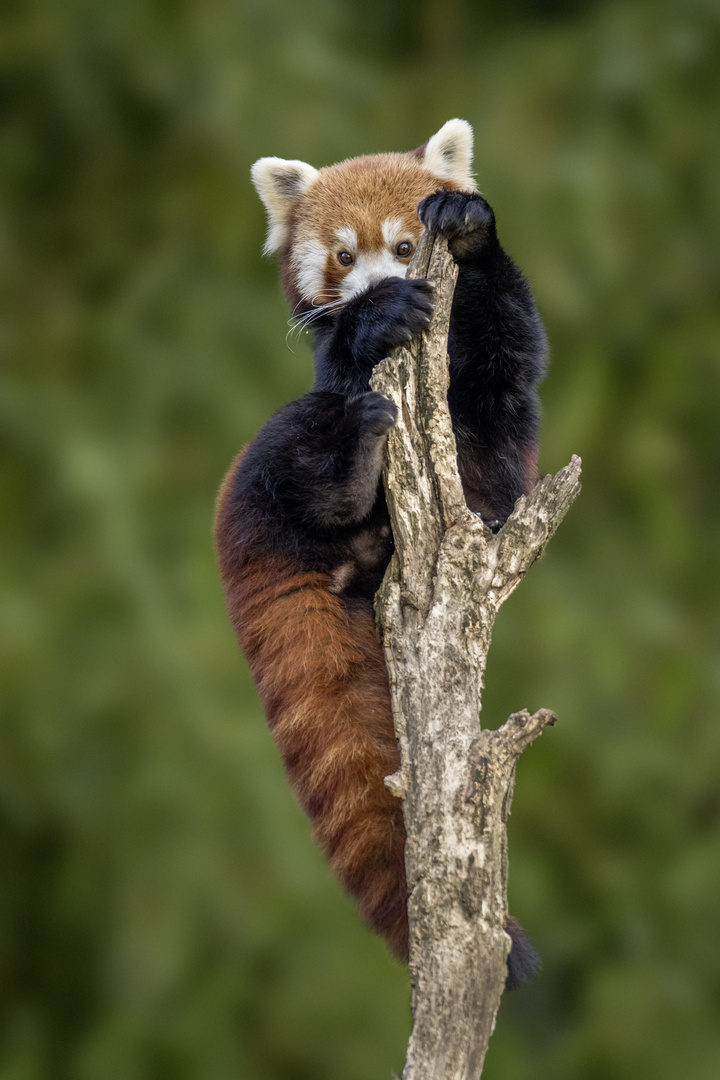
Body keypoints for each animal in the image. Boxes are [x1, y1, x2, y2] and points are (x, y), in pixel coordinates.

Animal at [213, 120, 546, 989]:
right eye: (341, 255)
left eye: (403, 244)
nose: (379, 282)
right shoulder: (334, 358)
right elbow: (347, 358)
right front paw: (377, 316)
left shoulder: (497, 369)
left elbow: (511, 341)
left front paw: (468, 224)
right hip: (263, 479)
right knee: (308, 432)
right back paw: (348, 475)